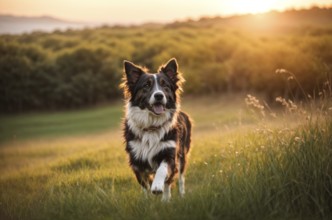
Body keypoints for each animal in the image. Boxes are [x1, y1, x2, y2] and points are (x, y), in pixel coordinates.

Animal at [122, 58, 192, 201]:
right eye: (146, 85)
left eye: (165, 85)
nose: (159, 95)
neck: (151, 125)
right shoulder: (136, 159)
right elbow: (144, 183)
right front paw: (147, 199)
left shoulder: (169, 153)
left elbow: (162, 170)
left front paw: (157, 187)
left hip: (182, 156)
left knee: (180, 178)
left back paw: (176, 196)